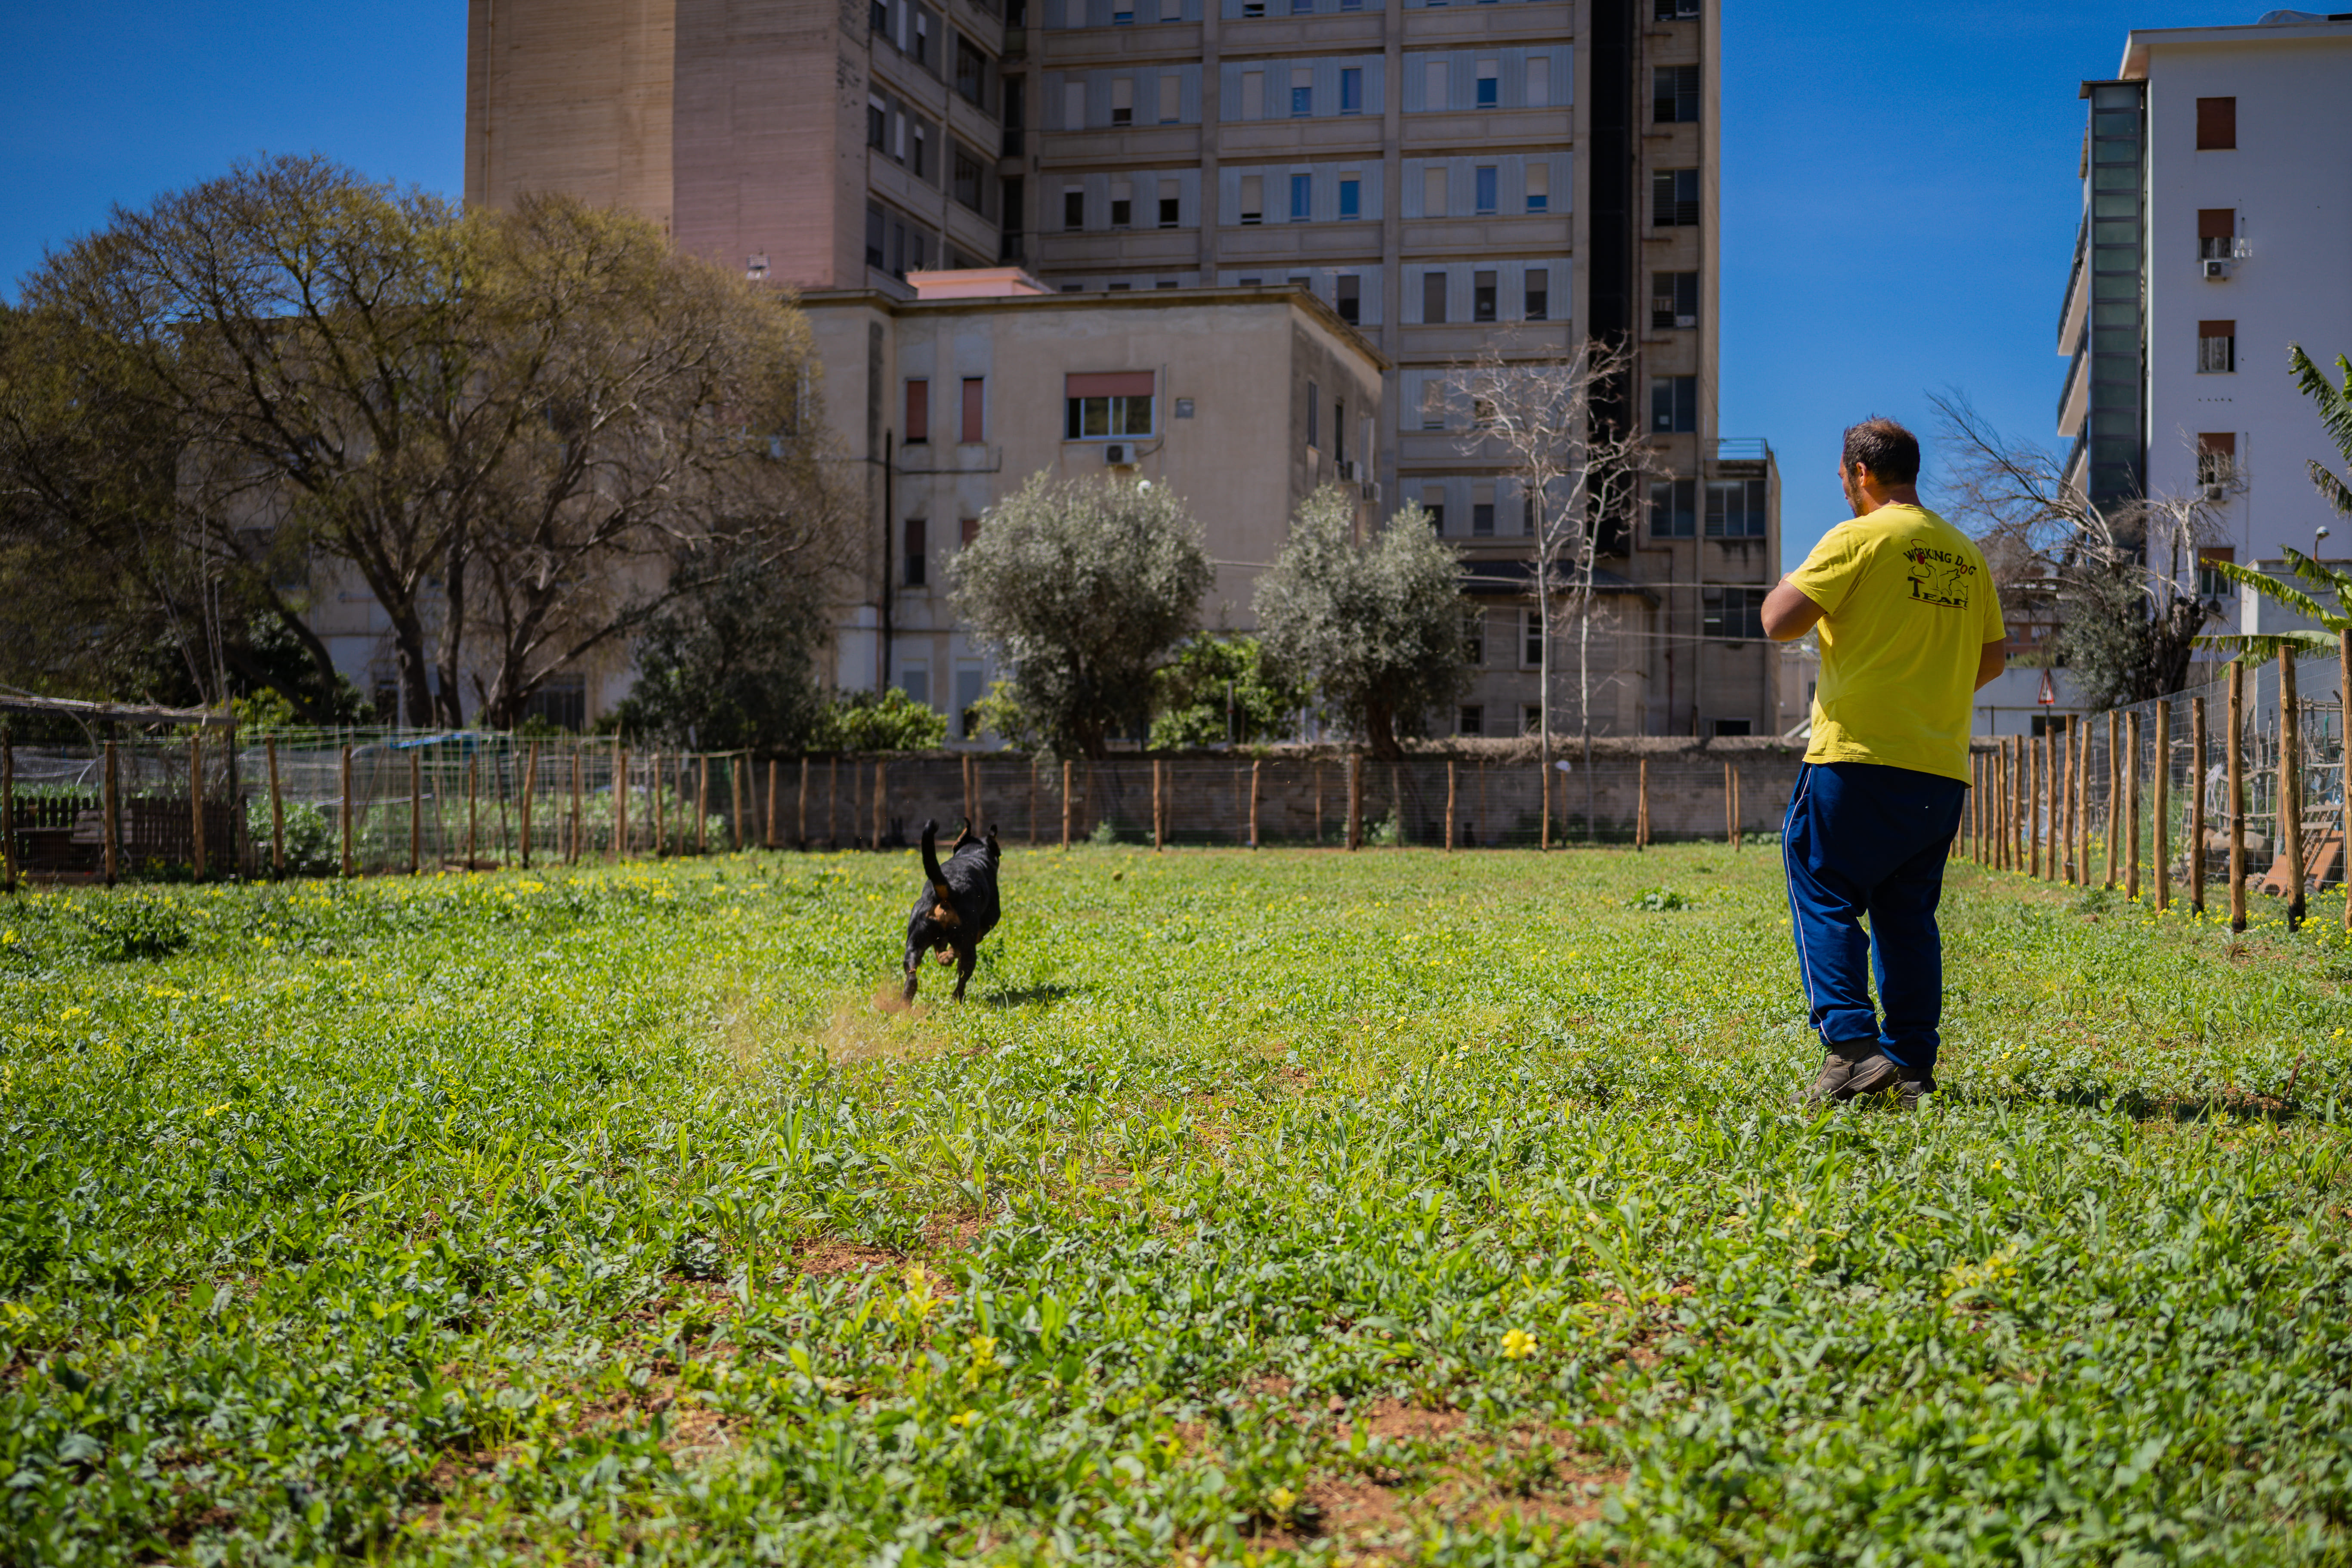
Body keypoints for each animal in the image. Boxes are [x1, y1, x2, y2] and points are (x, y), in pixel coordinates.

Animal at [898, 818, 1002, 1001]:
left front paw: (945, 958)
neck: (973, 854)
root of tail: (949, 889)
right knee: (963, 976)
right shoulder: (986, 925)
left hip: (914, 941)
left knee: (912, 976)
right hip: (967, 947)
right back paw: (957, 998)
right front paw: (949, 956)